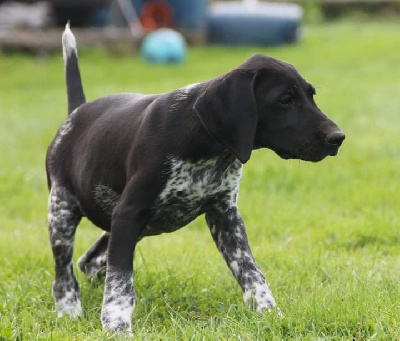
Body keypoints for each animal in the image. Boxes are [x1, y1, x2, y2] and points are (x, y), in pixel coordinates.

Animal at [46, 24, 344, 332]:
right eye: (285, 99)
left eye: (311, 95)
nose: (338, 138)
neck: (204, 143)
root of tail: (76, 112)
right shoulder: (129, 212)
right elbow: (120, 282)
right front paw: (117, 326)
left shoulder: (225, 216)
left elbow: (251, 272)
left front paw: (270, 314)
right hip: (63, 212)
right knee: (64, 273)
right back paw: (69, 311)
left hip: (130, 223)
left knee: (89, 260)